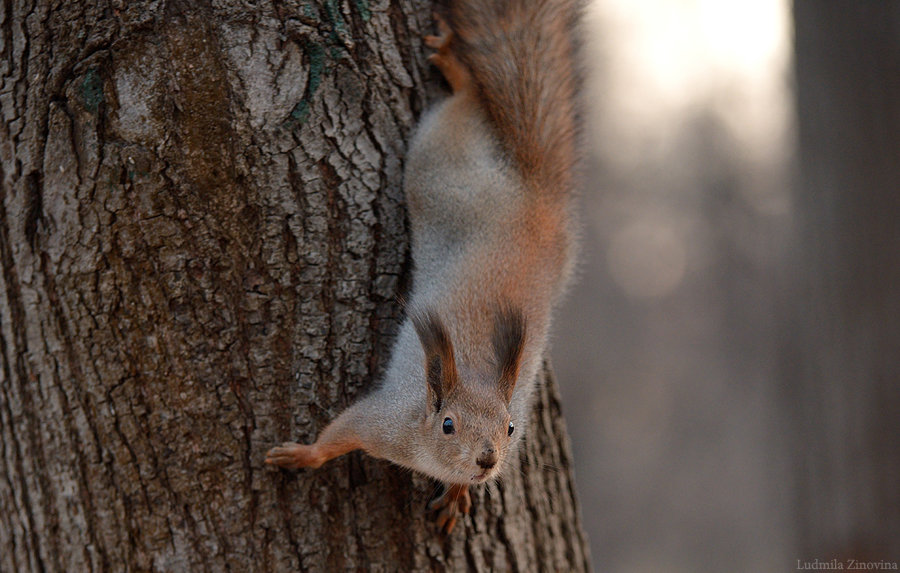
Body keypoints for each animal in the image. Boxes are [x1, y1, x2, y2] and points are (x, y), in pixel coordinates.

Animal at [264, 0, 580, 536]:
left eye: (511, 427)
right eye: (448, 425)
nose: (487, 460)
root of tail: (540, 203)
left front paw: (456, 495)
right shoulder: (381, 423)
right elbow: (336, 434)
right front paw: (302, 455)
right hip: (439, 167)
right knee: (464, 106)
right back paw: (458, 72)